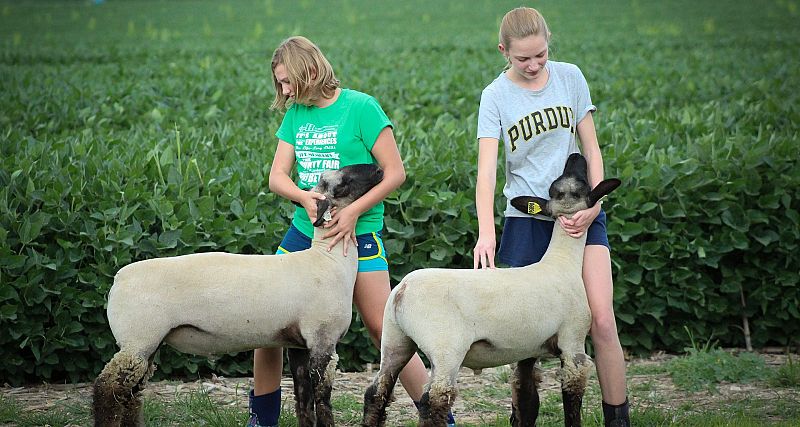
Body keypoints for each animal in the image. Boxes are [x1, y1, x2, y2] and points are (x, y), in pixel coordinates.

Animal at [90, 164, 384, 427]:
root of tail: (118, 278)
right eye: (342, 180)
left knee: (130, 395)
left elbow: (304, 402)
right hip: (138, 338)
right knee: (106, 387)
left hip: (146, 343)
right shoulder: (323, 342)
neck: (327, 260)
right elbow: (322, 402)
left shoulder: (301, 346)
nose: (380, 169)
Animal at [360, 155, 620, 427]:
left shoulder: (527, 347)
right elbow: (572, 399)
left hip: (394, 339)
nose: (576, 156)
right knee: (433, 402)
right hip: (445, 348)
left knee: (376, 393)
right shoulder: (573, 341)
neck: (562, 261)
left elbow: (525, 398)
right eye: (583, 184)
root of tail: (403, 290)